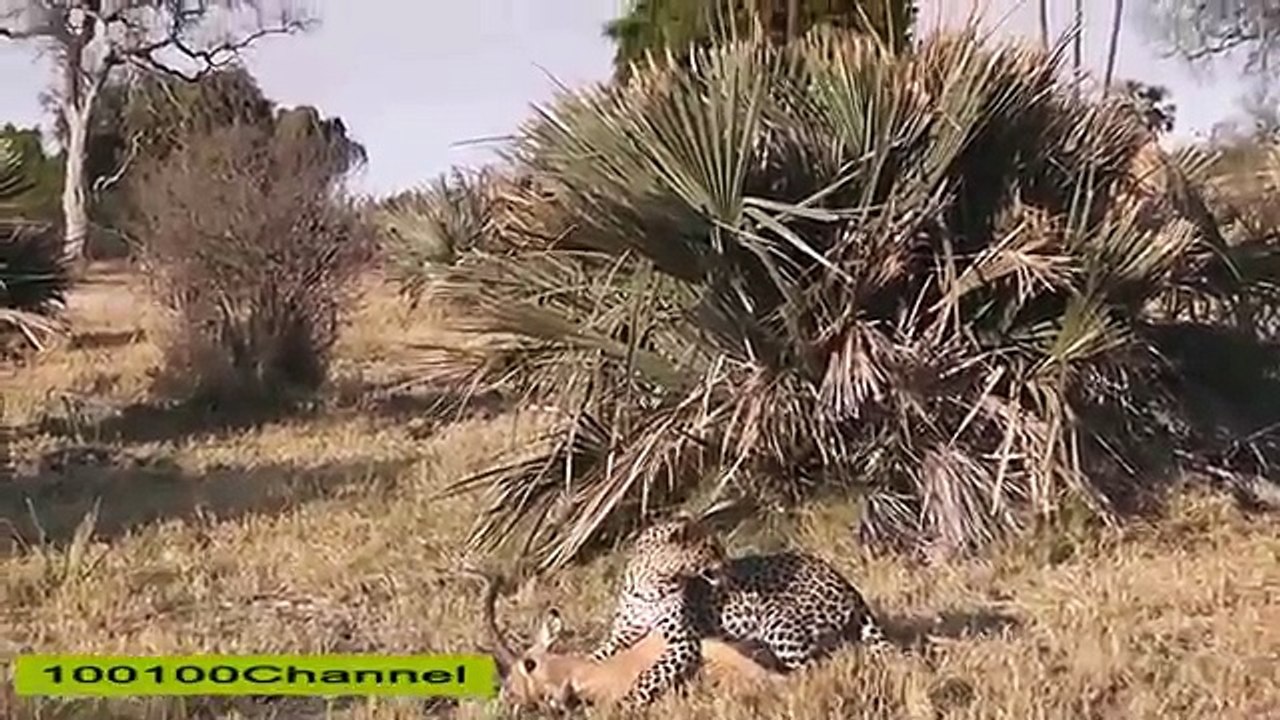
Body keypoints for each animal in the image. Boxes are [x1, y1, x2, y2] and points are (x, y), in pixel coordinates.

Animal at [591, 515, 886, 707]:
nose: (728, 564)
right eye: (711, 548)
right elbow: (598, 655)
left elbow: (650, 675)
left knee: (817, 668)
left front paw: (629, 702)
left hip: (777, 621)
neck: (651, 584)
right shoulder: (624, 634)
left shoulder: (683, 642)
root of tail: (848, 586)